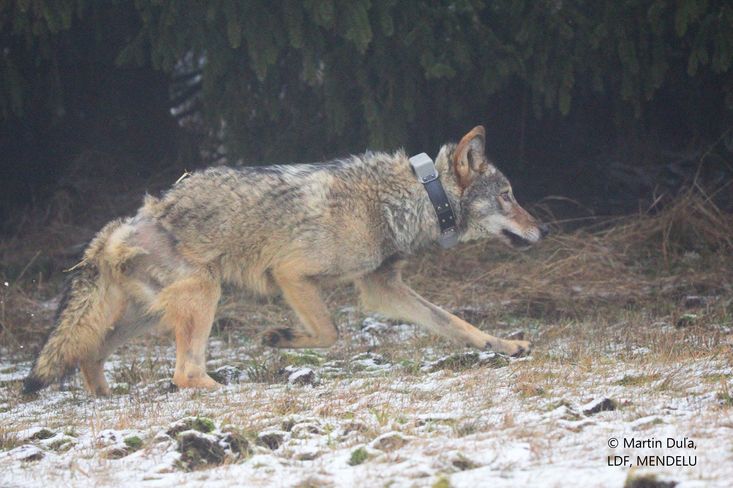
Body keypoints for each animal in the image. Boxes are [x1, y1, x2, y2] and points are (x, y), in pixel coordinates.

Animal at [22, 126, 548, 396]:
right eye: (508, 196)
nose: (543, 232)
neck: (413, 197)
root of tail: (120, 226)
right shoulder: (291, 275)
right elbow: (330, 333)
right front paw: (279, 338)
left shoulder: (382, 288)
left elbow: (457, 323)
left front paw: (508, 346)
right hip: (203, 296)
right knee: (182, 372)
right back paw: (222, 387)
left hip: (148, 316)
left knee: (89, 354)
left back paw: (107, 396)